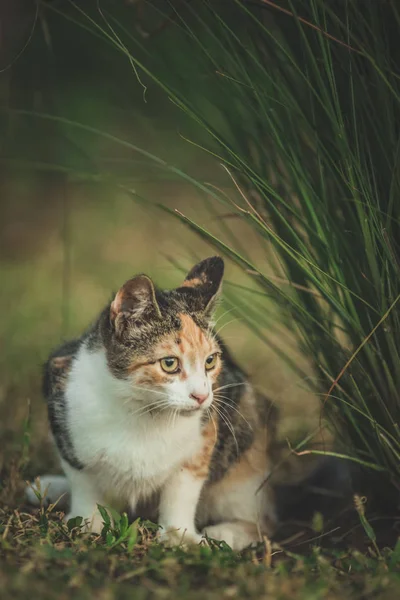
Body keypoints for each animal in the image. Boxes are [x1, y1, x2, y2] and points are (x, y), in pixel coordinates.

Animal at [27, 255, 278, 552]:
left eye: (210, 361)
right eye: (169, 363)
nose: (202, 396)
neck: (141, 409)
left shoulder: (203, 439)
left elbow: (182, 488)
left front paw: (179, 536)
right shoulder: (62, 399)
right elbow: (83, 481)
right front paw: (87, 522)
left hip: (249, 427)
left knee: (265, 523)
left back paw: (225, 533)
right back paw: (49, 487)